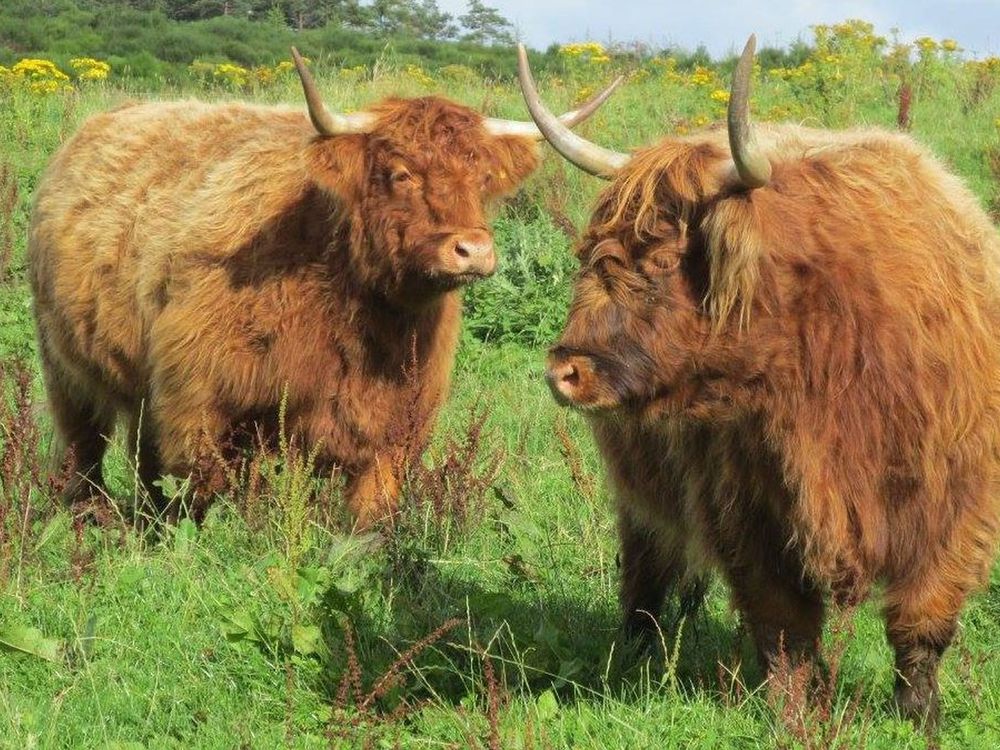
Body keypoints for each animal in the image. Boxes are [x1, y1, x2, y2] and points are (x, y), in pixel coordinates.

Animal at [27, 48, 616, 528]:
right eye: (400, 173)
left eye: (482, 178)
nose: (473, 250)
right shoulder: (196, 402)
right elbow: (204, 493)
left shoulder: (394, 423)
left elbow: (371, 512)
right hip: (65, 366)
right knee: (86, 445)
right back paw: (87, 515)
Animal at [520, 36, 996, 728]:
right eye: (591, 255)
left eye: (663, 260)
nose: (564, 371)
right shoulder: (746, 508)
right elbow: (784, 626)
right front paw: (794, 717)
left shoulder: (953, 507)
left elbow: (922, 624)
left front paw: (920, 718)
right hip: (639, 491)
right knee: (646, 567)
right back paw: (634, 647)